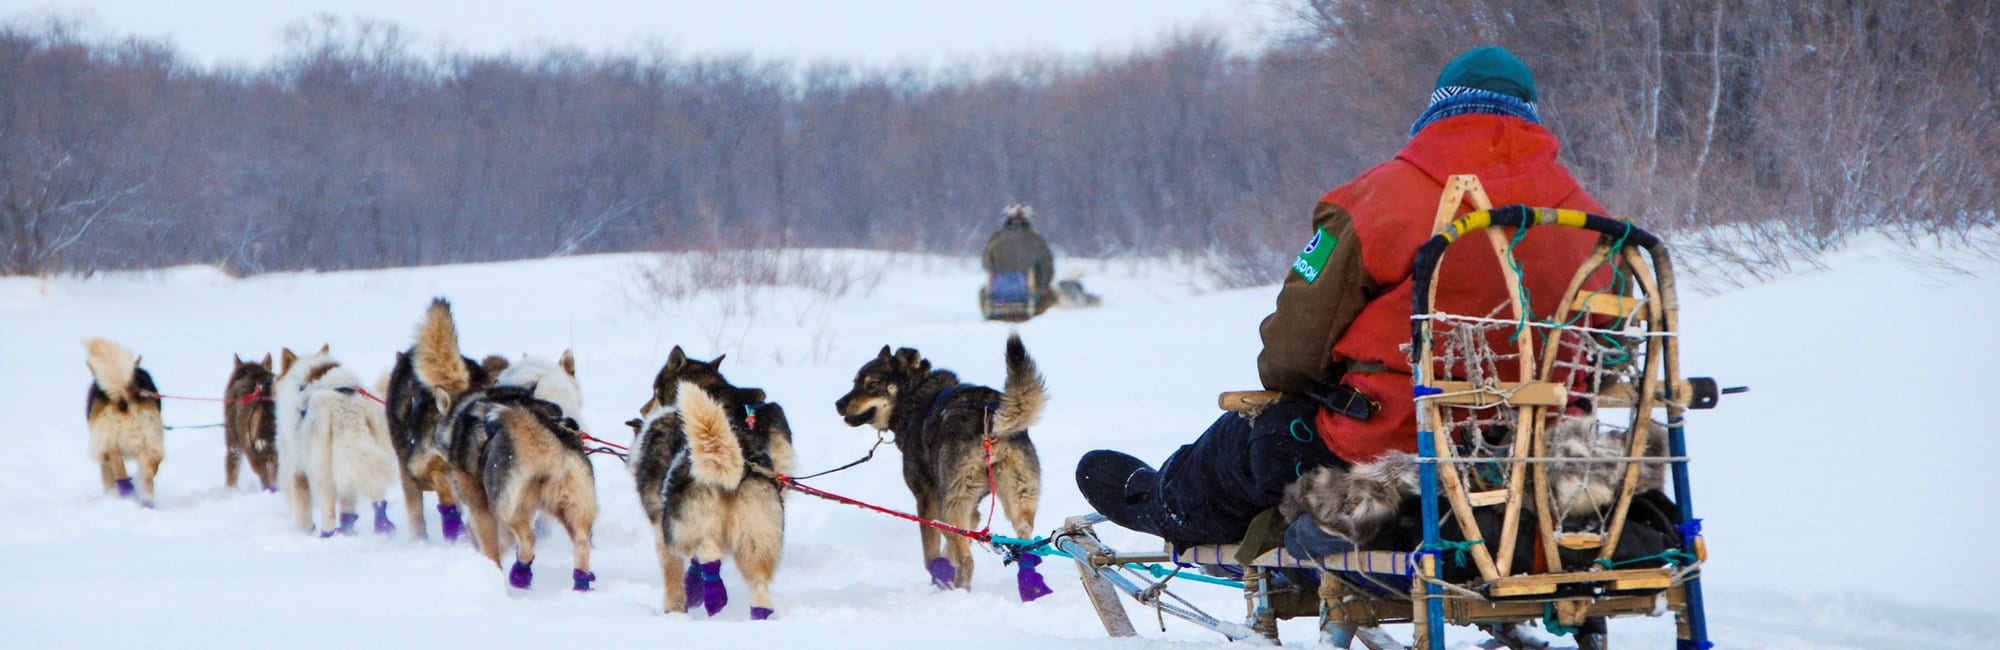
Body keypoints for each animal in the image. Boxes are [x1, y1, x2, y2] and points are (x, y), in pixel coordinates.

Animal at [83, 336, 164, 508]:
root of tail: (124, 398)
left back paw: (126, 490)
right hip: (151, 445)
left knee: (117, 463)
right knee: (148, 478)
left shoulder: (103, 461)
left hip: (106, 444)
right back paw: (145, 501)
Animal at [274, 346, 402, 536]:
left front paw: (305, 530)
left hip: (321, 473)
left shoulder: (296, 468)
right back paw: (376, 528)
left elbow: (302, 506)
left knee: (329, 512)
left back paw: (326, 534)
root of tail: (346, 411)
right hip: (367, 456)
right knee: (375, 498)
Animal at [636, 350, 800, 616]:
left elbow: (672, 578)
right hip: (757, 531)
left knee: (706, 549)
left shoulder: (661, 527)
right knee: (757, 581)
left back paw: (711, 595)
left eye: (655, 391)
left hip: (679, 526)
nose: (643, 410)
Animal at [832, 334, 1056, 596]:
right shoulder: (973, 511)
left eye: (872, 384)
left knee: (968, 561)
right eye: (855, 382)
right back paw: (1032, 588)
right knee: (1025, 547)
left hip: (952, 505)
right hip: (1018, 502)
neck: (915, 399)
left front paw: (939, 577)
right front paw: (946, 573)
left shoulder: (926, 499)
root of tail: (988, 416)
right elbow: (952, 550)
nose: (838, 403)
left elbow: (931, 552)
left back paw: (960, 591)